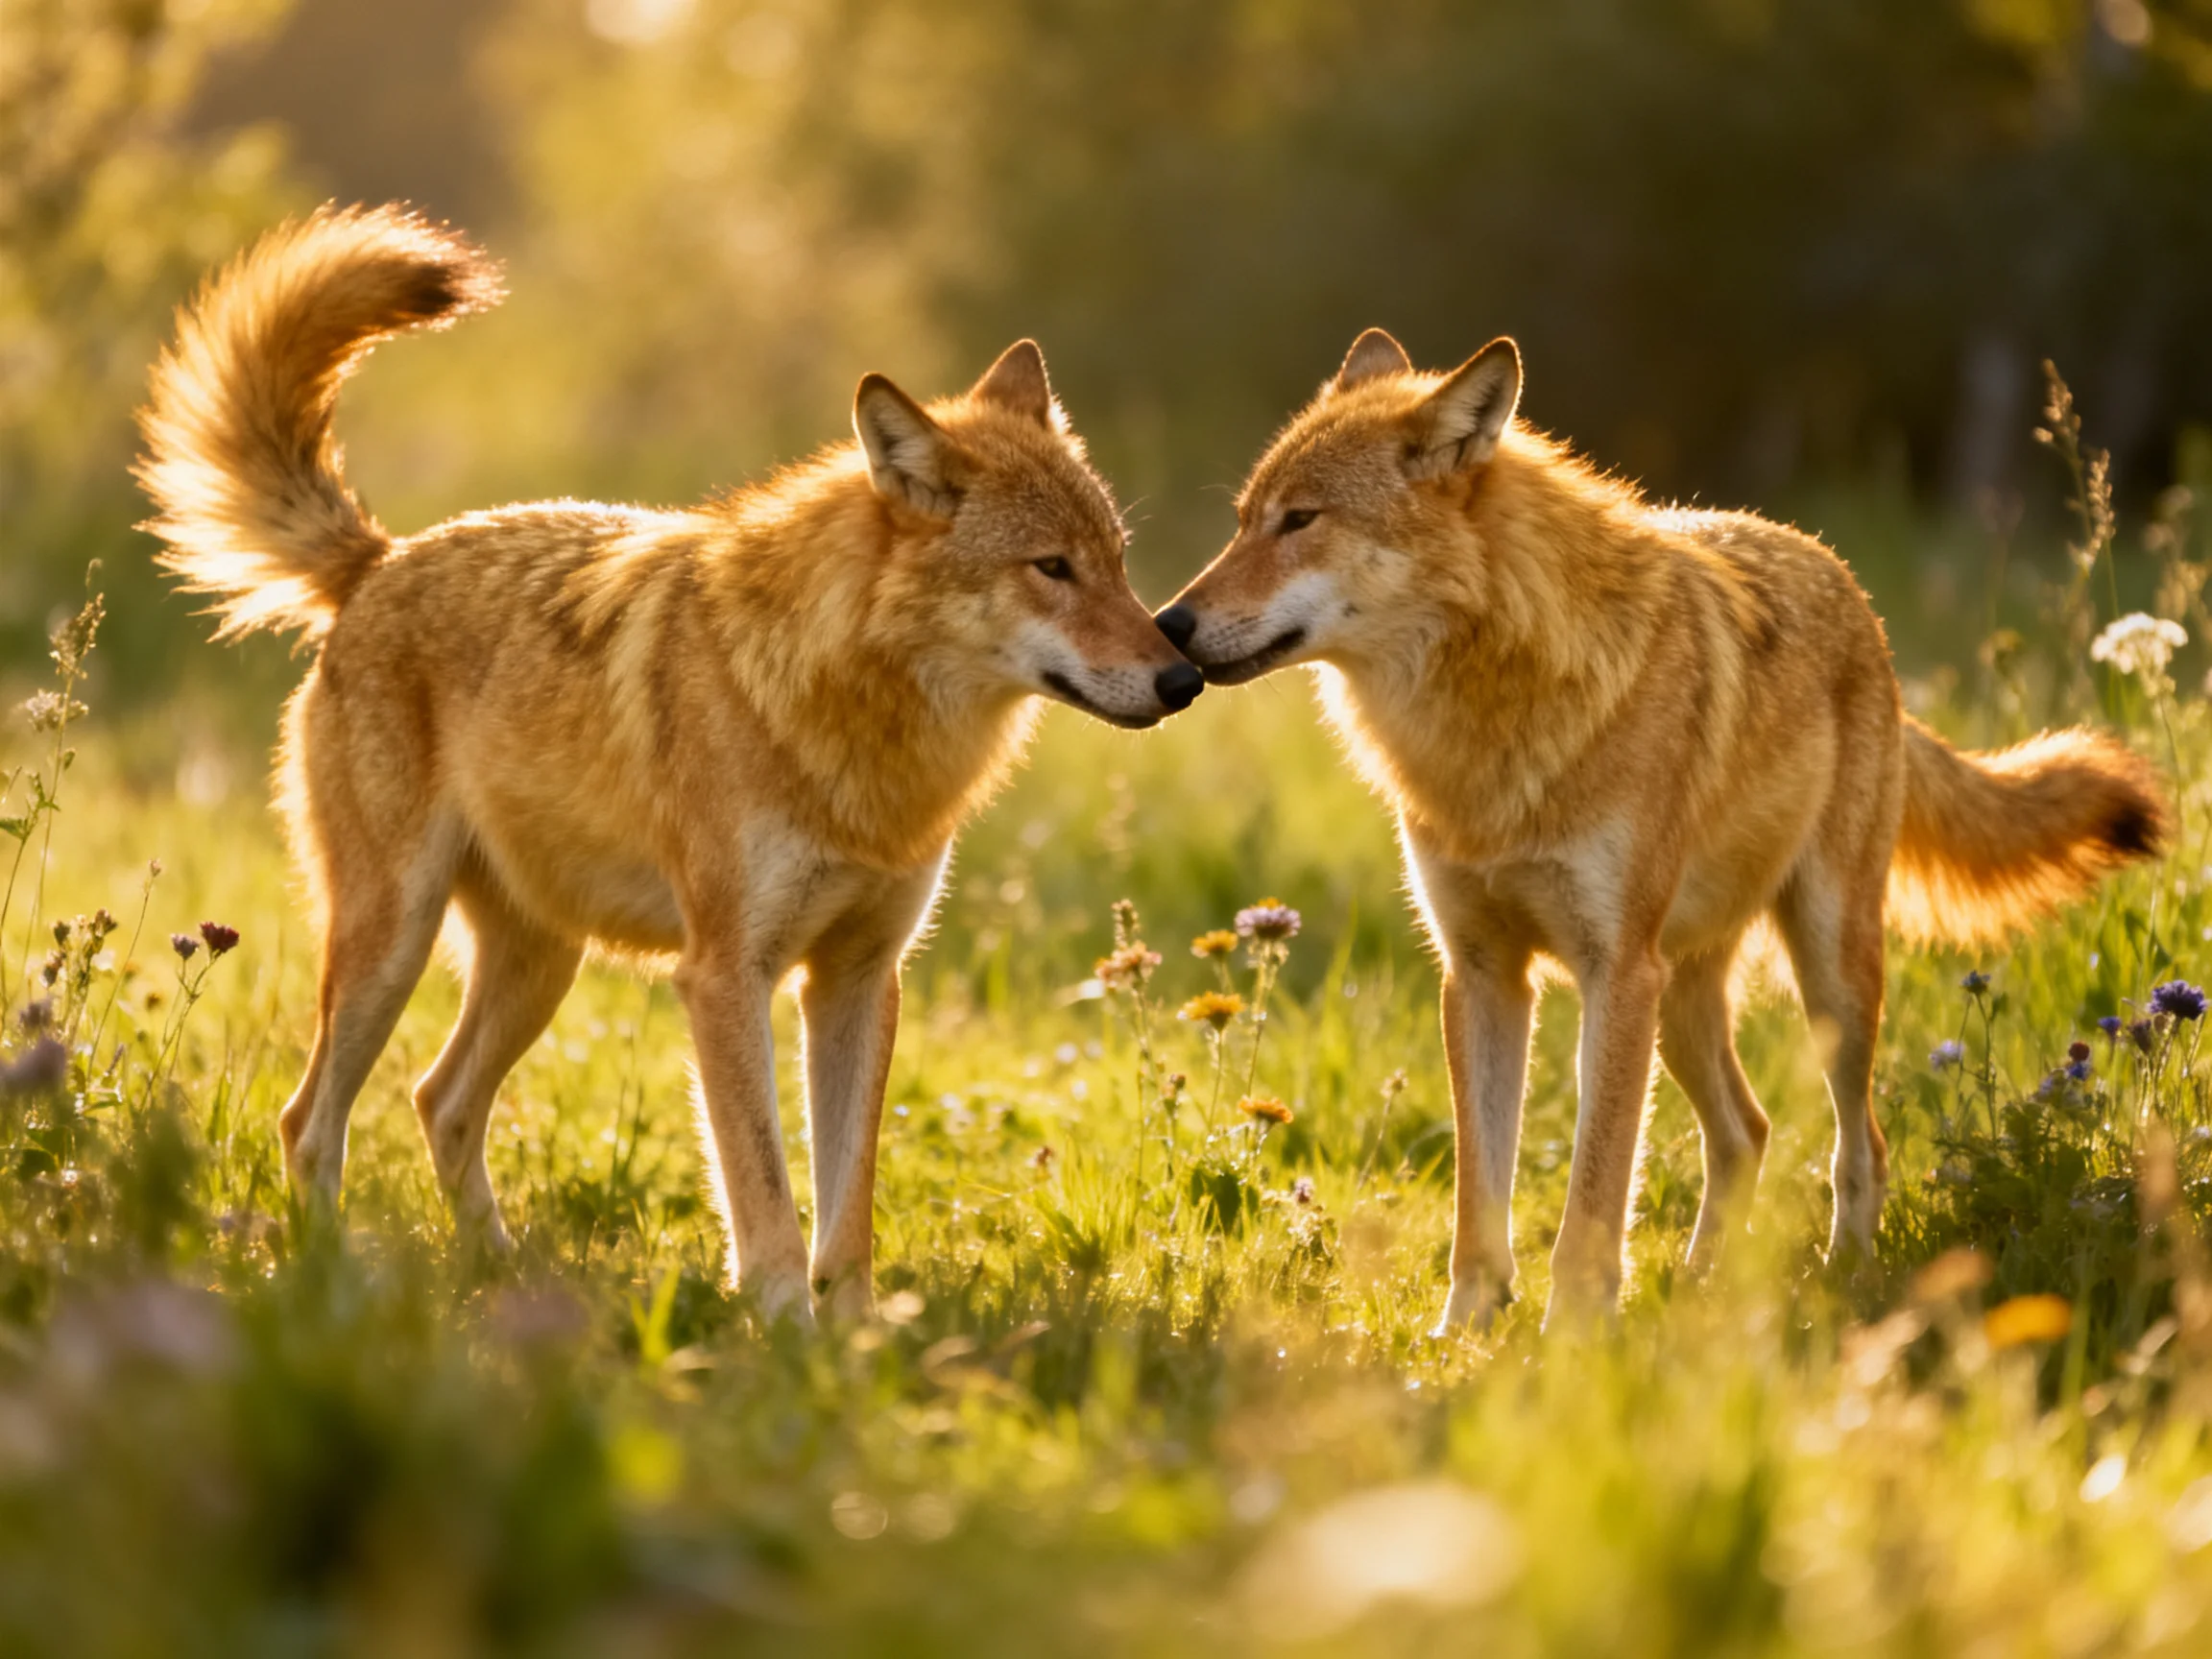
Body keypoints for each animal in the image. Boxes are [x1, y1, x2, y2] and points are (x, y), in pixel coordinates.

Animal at [137, 204, 1203, 1321]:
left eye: (1119, 563)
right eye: (1052, 569)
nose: (1183, 677)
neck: (854, 730)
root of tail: (378, 560)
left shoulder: (861, 978)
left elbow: (848, 1208)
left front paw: (857, 1337)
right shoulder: (725, 977)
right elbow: (765, 1193)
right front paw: (783, 1332)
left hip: (539, 965)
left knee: (438, 1100)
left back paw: (503, 1276)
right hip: (394, 946)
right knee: (311, 1122)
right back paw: (334, 1290)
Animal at [1156, 327, 2164, 1330]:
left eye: (1300, 520)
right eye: (1243, 520)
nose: (1169, 624)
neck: (1494, 725)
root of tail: (1847, 585)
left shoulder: (1614, 973)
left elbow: (1596, 1191)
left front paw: (1569, 1341)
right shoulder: (1481, 975)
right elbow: (1481, 1193)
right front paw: (1466, 1332)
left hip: (1823, 983)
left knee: (1860, 1144)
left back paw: (1842, 1276)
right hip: (1681, 1005)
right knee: (1748, 1131)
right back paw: (1702, 1288)